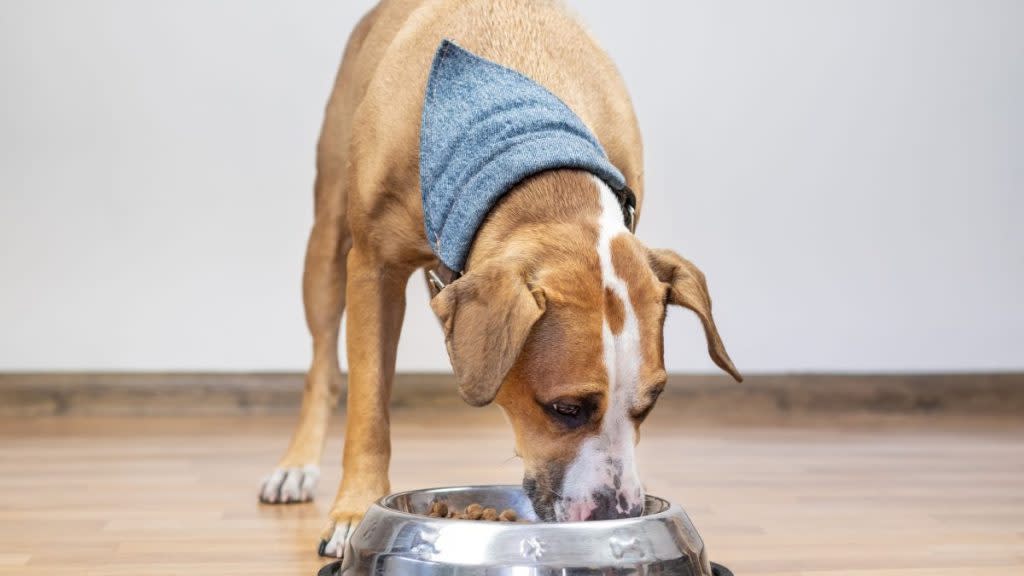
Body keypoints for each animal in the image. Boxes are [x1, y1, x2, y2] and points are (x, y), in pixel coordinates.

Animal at [256, 0, 737, 557]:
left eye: (652, 402)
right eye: (566, 408)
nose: (618, 514)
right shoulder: (372, 269)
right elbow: (369, 409)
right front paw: (355, 510)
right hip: (327, 240)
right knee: (323, 365)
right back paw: (297, 464)